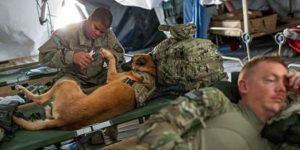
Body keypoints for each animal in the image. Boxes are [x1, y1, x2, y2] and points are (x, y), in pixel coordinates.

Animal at [12, 49, 156, 130]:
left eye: (131, 60)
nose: (123, 62)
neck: (147, 73)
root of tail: (64, 119)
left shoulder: (112, 76)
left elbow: (111, 61)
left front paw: (107, 53)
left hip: (67, 83)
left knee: (40, 100)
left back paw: (24, 90)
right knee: (48, 116)